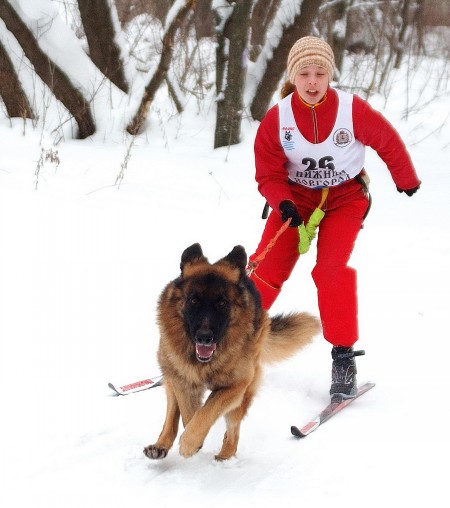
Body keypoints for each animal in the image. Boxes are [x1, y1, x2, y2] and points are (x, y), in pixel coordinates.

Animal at [144, 244, 320, 462]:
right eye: (193, 300)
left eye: (222, 303)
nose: (204, 337)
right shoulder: (181, 380)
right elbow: (188, 412)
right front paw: (193, 439)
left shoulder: (235, 386)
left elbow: (208, 410)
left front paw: (190, 442)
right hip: (169, 373)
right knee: (172, 412)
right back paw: (160, 444)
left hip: (241, 396)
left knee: (233, 432)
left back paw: (224, 456)